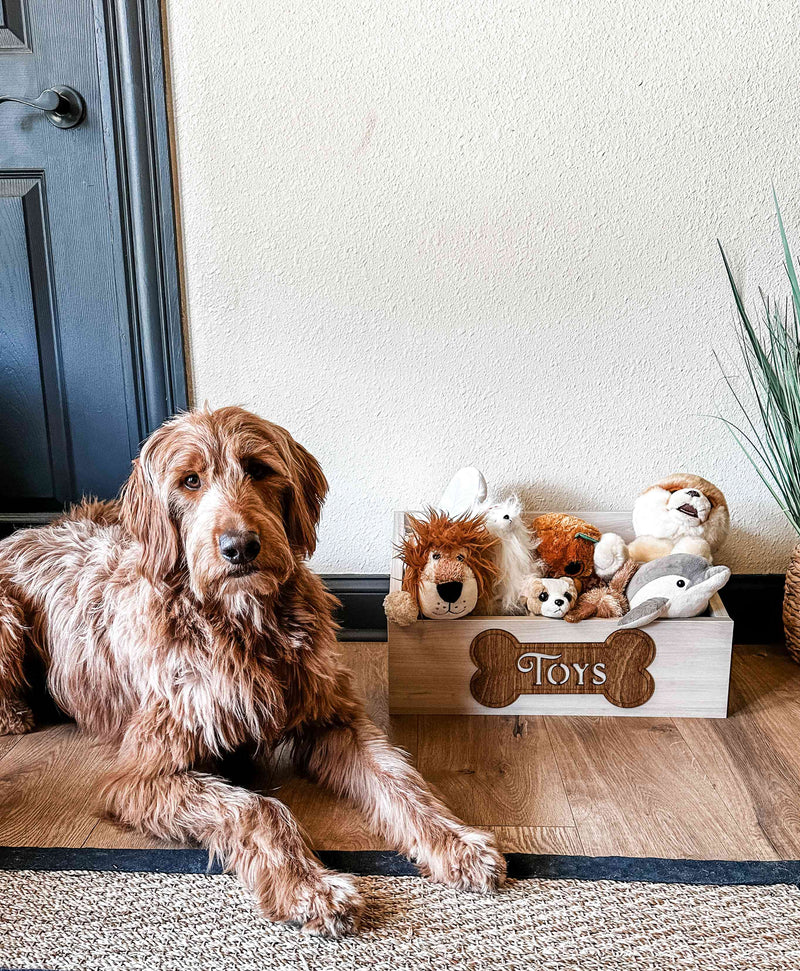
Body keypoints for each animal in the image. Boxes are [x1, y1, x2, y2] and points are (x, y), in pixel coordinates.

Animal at [0, 404, 504, 936]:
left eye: (259, 469)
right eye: (190, 480)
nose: (239, 546)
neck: (243, 623)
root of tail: (26, 531)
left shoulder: (334, 720)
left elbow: (400, 779)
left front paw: (457, 842)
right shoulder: (142, 777)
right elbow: (257, 807)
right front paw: (309, 884)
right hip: (8, 619)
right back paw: (15, 713)